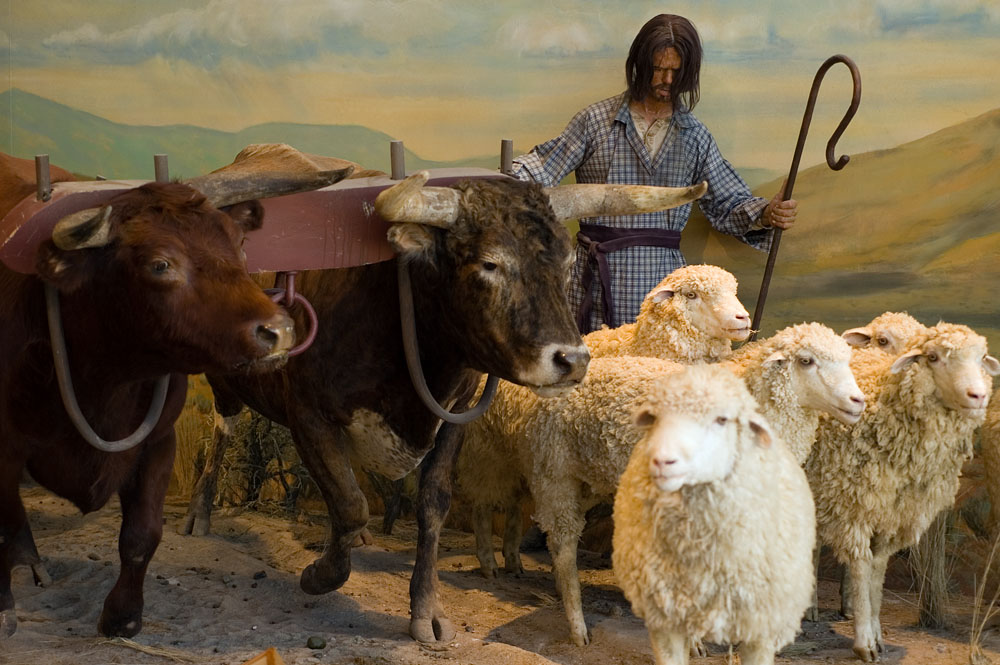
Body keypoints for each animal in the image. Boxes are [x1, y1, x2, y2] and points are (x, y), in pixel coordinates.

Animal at [804, 322, 1000, 660]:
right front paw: (864, 643)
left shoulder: (893, 512)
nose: (978, 395)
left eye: (981, 357)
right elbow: (861, 567)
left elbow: (877, 571)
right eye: (932, 357)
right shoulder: (857, 506)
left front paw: (876, 631)